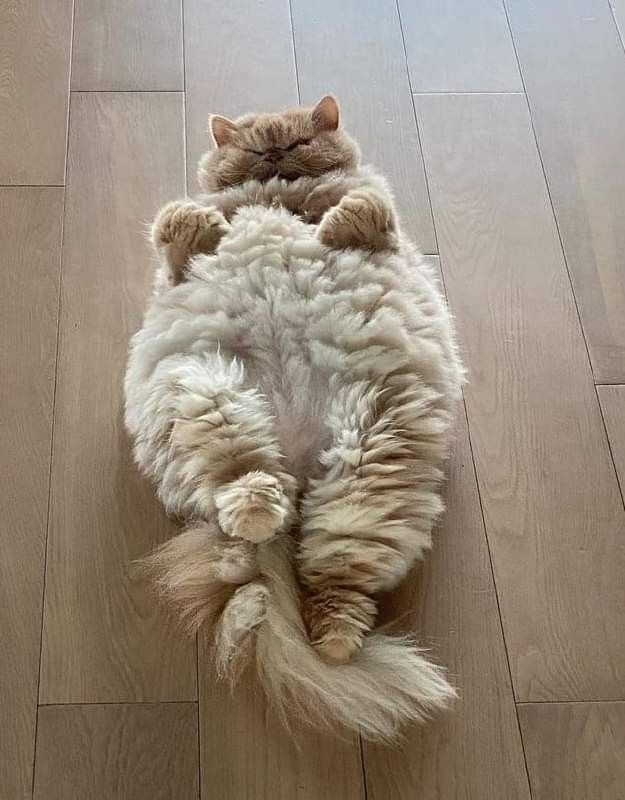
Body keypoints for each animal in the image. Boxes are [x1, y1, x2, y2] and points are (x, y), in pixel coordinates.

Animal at [124, 96, 464, 740]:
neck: (279, 198)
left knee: (336, 583)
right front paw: (220, 228)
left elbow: (361, 207)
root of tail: (301, 467)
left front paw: (325, 225)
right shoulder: (173, 254)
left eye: (299, 142)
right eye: (256, 148)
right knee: (245, 487)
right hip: (209, 391)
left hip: (368, 462)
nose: (276, 153)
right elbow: (178, 219)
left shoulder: (382, 220)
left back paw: (330, 643)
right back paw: (260, 516)